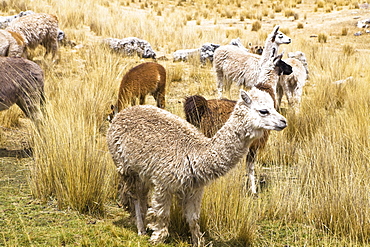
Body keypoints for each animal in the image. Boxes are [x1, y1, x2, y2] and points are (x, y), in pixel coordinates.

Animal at [105, 84, 288, 245]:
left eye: (274, 107)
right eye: (264, 111)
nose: (284, 122)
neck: (195, 153)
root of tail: (122, 113)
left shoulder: (195, 189)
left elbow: (193, 219)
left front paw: (198, 241)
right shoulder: (164, 184)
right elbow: (163, 215)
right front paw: (157, 238)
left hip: (143, 172)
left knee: (141, 195)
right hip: (125, 166)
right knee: (135, 195)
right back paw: (141, 229)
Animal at [185, 53, 292, 195]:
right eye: (283, 62)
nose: (291, 68)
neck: (267, 90)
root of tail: (203, 107)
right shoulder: (255, 144)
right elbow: (250, 168)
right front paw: (253, 190)